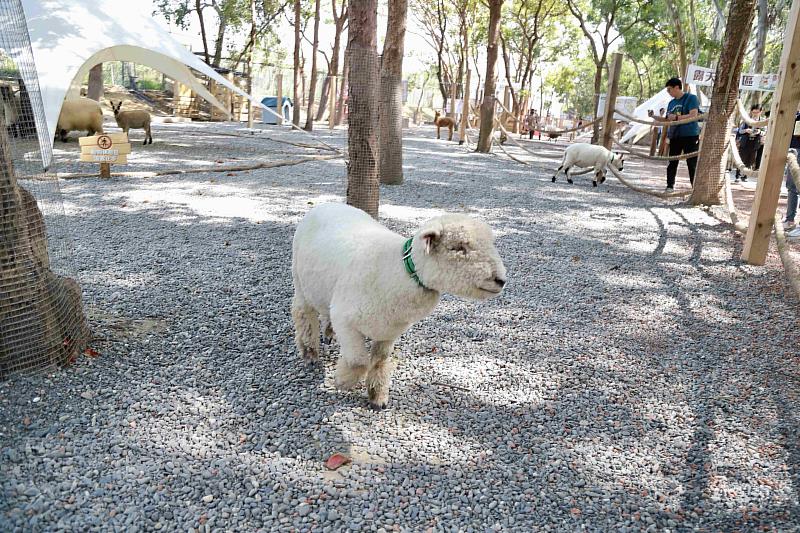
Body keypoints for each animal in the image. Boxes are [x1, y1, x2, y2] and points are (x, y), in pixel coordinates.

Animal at [294, 203, 506, 408]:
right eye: (458, 247)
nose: (501, 280)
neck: (394, 271)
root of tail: (325, 205)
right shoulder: (345, 320)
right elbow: (358, 362)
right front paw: (342, 382)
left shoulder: (388, 332)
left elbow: (379, 361)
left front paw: (377, 397)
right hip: (300, 283)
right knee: (303, 314)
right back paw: (310, 352)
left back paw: (328, 333)